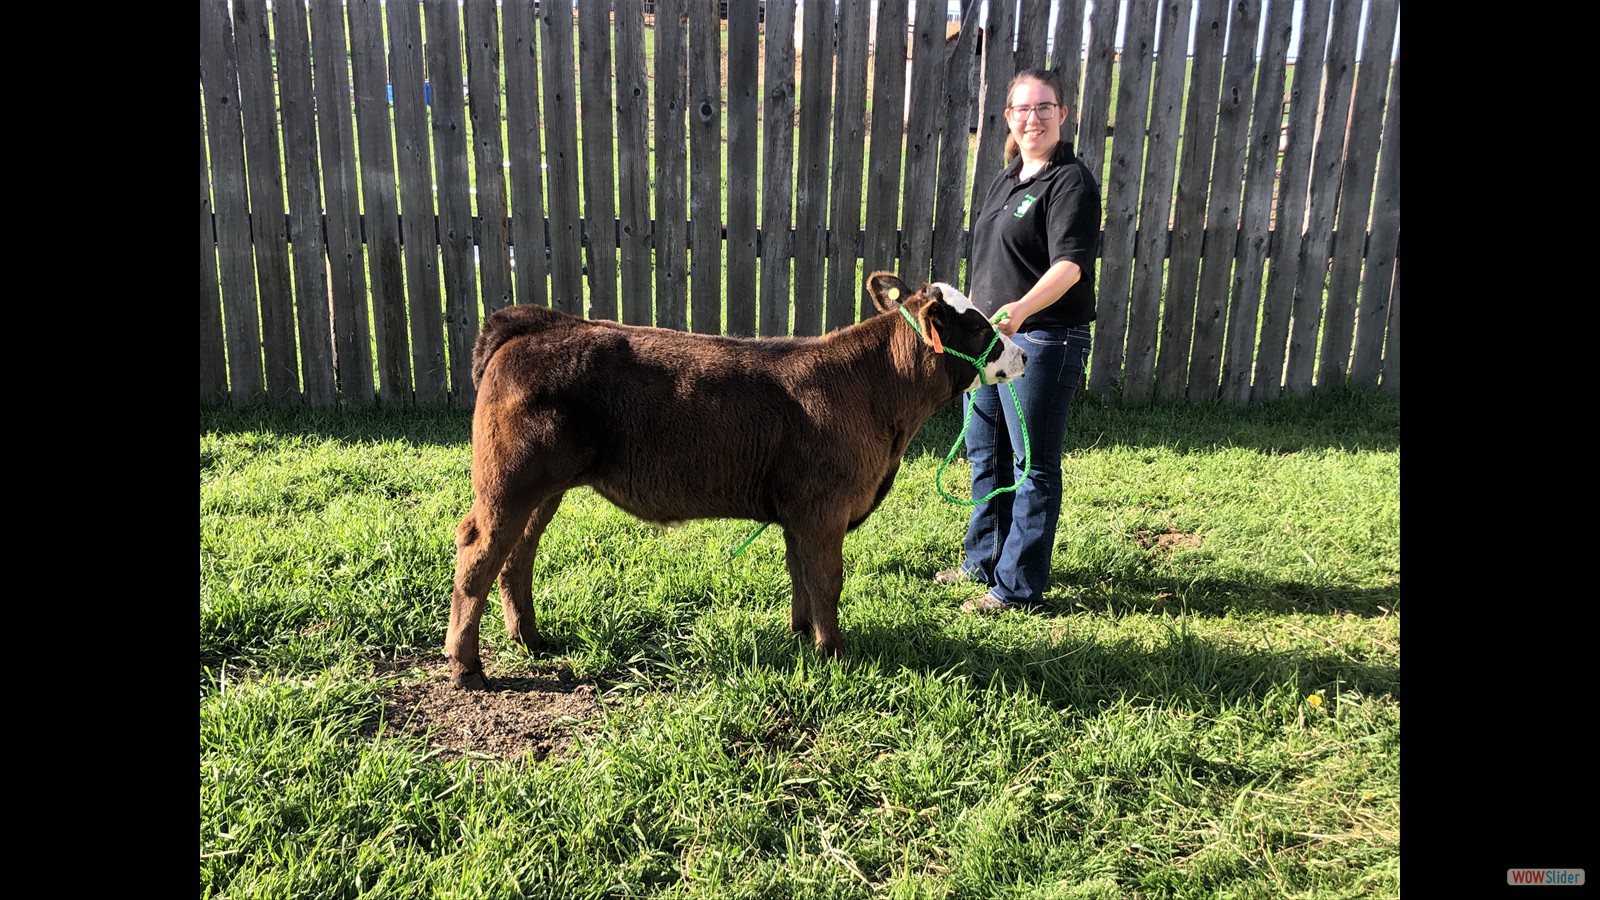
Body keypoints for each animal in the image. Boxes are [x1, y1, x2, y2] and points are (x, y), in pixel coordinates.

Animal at [445, 271, 1027, 688]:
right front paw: (834, 654)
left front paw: (802, 636)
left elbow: (801, 575)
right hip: (509, 483)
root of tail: (542, 321)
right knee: (479, 550)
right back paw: (467, 667)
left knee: (517, 555)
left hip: (542, 488)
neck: (876, 397)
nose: (1022, 353)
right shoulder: (824, 508)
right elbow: (827, 580)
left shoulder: (799, 513)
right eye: (979, 328)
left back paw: (529, 639)